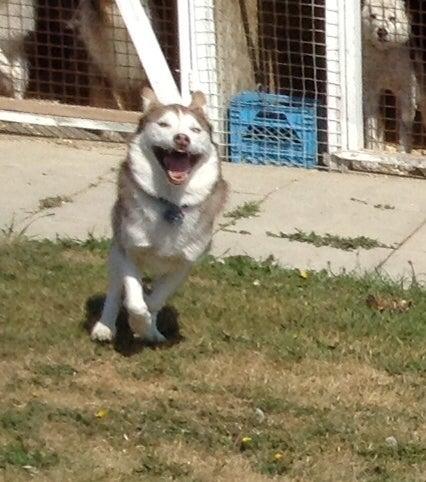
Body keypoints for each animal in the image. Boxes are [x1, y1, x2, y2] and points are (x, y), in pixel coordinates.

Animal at [91, 86, 228, 342]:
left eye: (195, 130)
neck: (171, 202)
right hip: (115, 247)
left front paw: (146, 327)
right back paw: (105, 327)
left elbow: (155, 300)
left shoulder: (184, 263)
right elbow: (134, 301)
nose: (182, 138)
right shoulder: (129, 250)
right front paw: (137, 321)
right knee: (114, 290)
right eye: (163, 124)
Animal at [362, 0, 424, 153]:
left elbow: (404, 127)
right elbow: (372, 123)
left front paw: (403, 152)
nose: (382, 31)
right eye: (373, 16)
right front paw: (372, 148)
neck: (385, 54)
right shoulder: (371, 91)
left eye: (392, 18)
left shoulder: (407, 93)